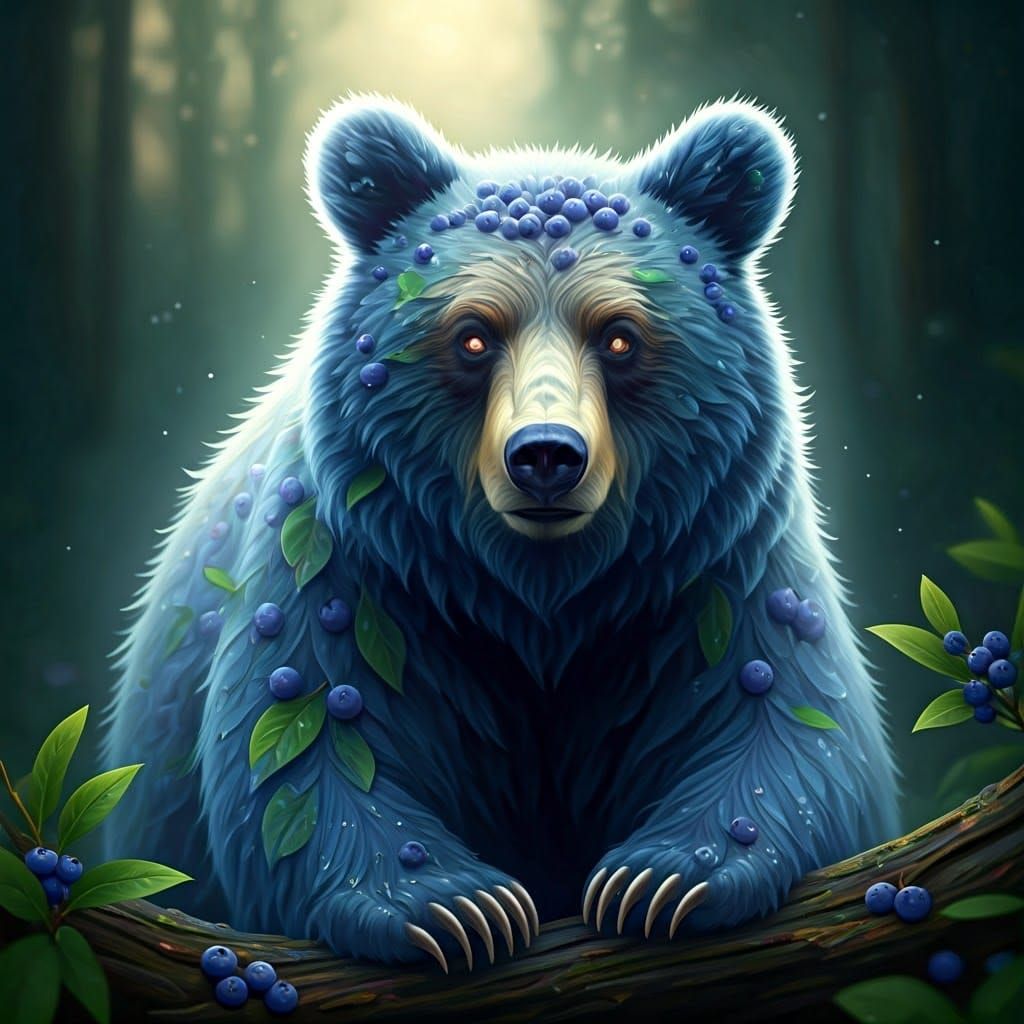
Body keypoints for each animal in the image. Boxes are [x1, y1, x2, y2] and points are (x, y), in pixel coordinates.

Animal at [102, 95, 900, 971]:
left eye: (620, 335)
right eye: (474, 335)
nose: (546, 454)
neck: (540, 600)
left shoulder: (714, 566)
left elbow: (788, 718)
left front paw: (659, 881)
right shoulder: (353, 565)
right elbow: (302, 743)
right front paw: (459, 907)